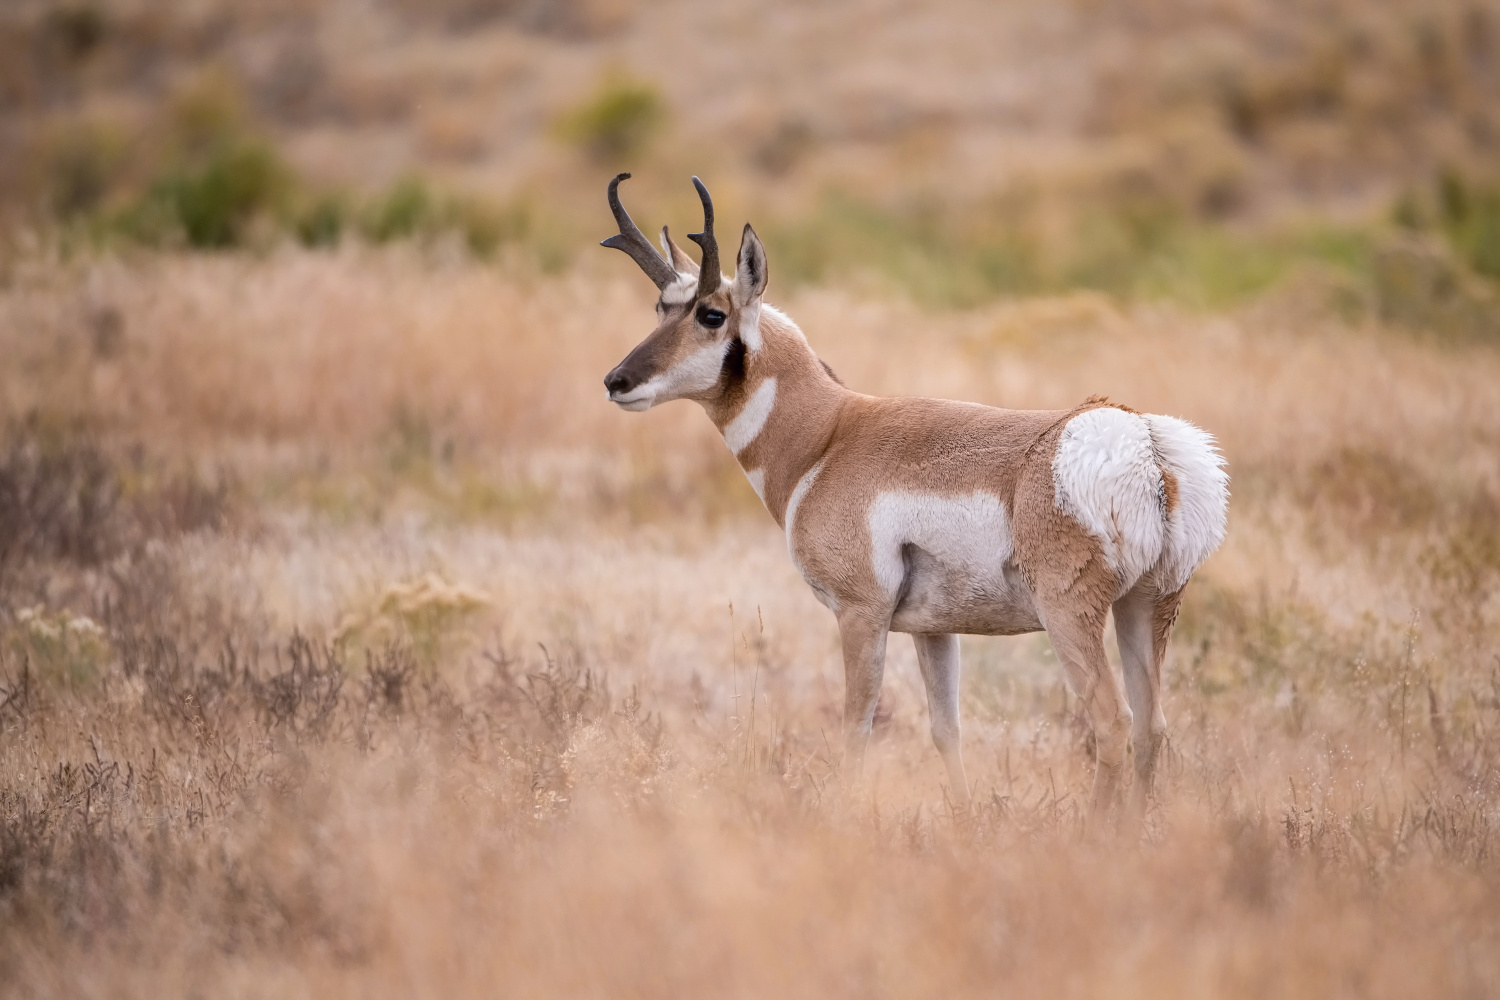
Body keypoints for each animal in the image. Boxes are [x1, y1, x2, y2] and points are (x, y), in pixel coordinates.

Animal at [597, 177, 1230, 821]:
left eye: (711, 313)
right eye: (660, 308)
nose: (616, 381)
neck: (827, 435)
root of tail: (1143, 439)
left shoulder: (861, 614)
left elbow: (856, 727)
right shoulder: (934, 631)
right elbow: (945, 730)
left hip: (1069, 616)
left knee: (1112, 721)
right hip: (1147, 607)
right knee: (1152, 726)